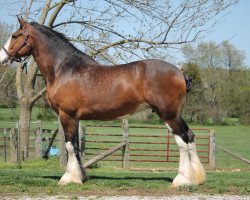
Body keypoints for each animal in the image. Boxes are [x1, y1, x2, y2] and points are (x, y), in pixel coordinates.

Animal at [0, 18, 206, 187]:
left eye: (15, 35)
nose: (2, 58)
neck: (64, 69)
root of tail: (179, 72)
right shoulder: (75, 118)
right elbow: (75, 146)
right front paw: (81, 176)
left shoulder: (67, 115)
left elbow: (69, 145)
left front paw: (69, 178)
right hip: (176, 114)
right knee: (190, 136)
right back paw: (197, 178)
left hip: (168, 114)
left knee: (182, 140)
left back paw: (182, 179)